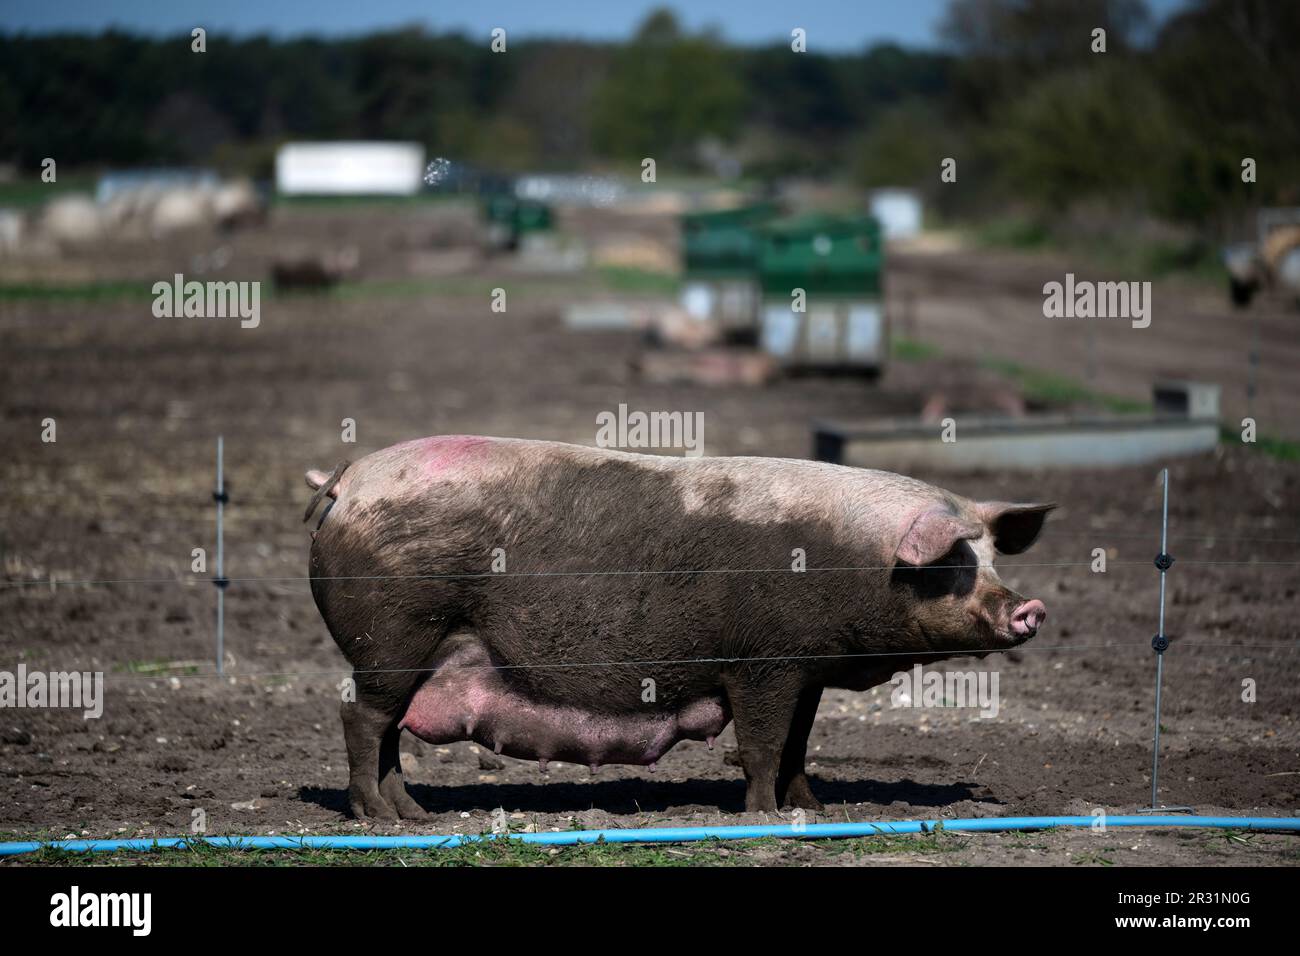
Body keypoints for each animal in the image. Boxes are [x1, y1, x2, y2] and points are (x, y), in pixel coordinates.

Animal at [306, 437, 1055, 816]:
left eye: (992, 557)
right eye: (953, 563)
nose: (1030, 607)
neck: (857, 560)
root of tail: (347, 479)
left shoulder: (805, 672)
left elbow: (798, 745)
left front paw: (815, 808)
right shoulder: (762, 664)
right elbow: (762, 745)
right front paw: (764, 817)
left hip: (416, 655)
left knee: (389, 728)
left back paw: (413, 815)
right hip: (392, 638)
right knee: (360, 719)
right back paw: (379, 818)